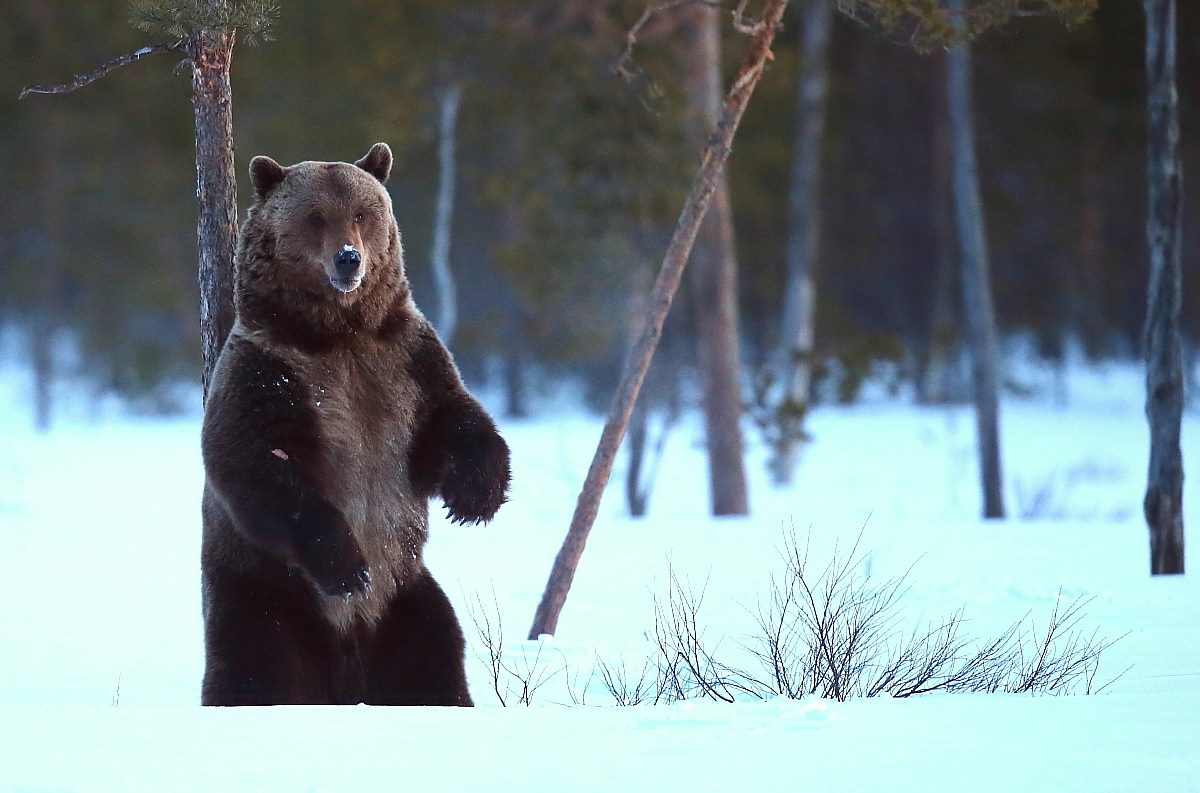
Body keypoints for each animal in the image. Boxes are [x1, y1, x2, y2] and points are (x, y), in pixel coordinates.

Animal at [199, 143, 510, 706]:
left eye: (364, 213)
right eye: (316, 217)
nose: (349, 258)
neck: (338, 332)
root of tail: (348, 669)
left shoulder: (405, 359)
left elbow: (452, 416)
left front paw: (475, 496)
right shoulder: (267, 370)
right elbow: (257, 462)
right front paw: (349, 567)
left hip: (407, 597)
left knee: (435, 652)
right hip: (265, 592)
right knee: (255, 661)